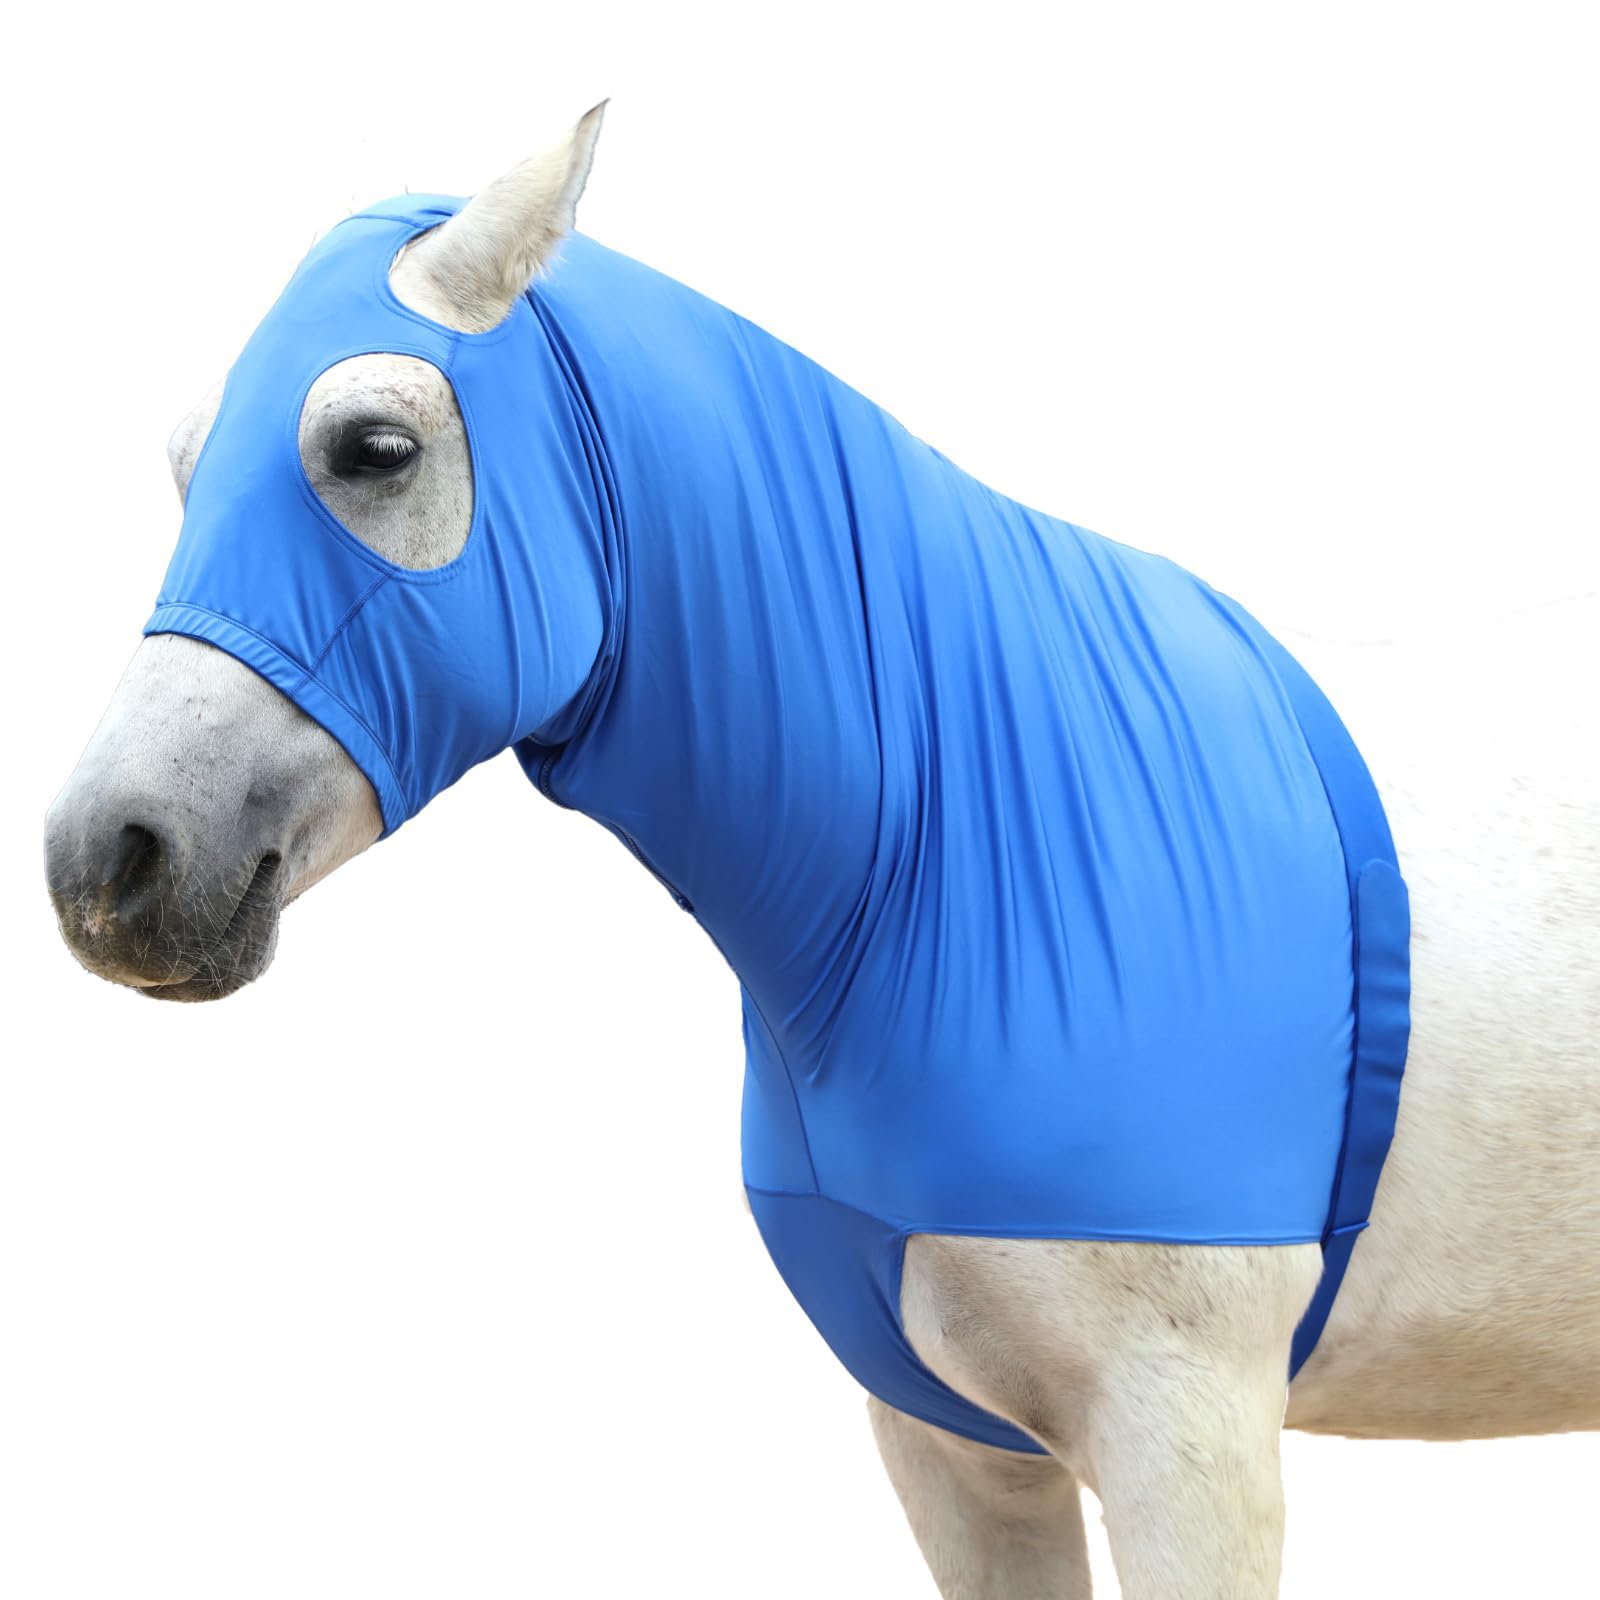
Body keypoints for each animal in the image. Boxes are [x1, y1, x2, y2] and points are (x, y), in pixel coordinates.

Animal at [43, 104, 1598, 1599]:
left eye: (373, 446)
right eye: (183, 465)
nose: (106, 863)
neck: (963, 847)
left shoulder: (1190, 1448)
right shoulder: (954, 1450)